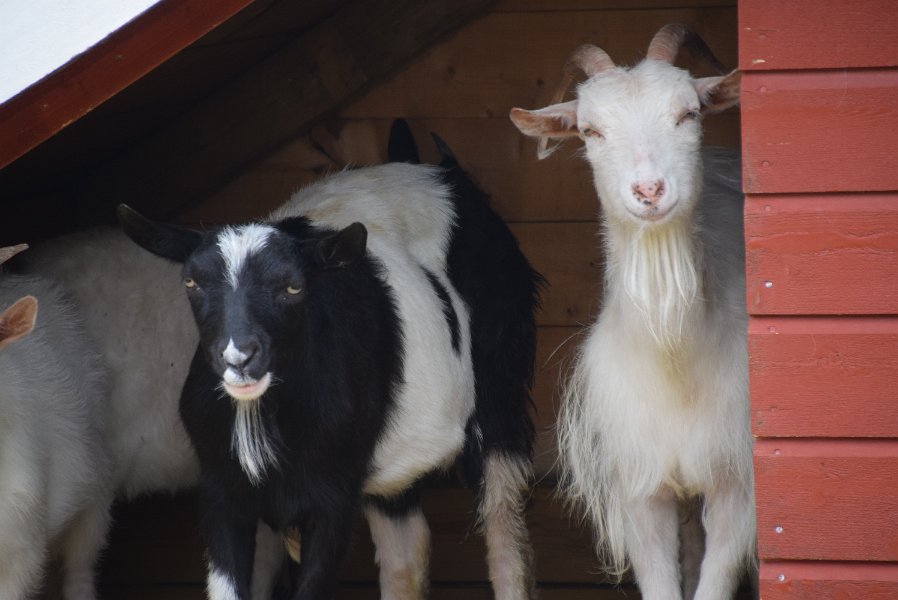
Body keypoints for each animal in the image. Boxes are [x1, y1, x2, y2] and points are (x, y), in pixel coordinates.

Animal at [116, 149, 543, 600]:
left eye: (293, 287)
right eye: (191, 282)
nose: (239, 357)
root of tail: (437, 170)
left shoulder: (332, 497)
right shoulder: (221, 491)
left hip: (501, 391)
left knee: (504, 523)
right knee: (405, 550)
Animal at [509, 23, 753, 600]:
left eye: (689, 113)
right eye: (590, 130)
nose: (649, 190)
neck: (674, 357)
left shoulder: (737, 485)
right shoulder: (641, 492)